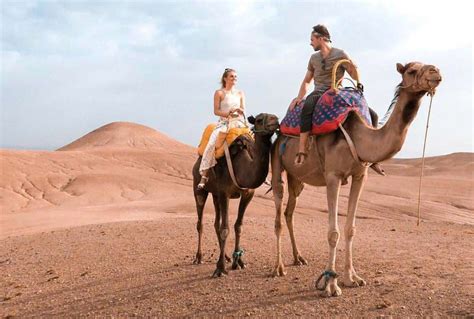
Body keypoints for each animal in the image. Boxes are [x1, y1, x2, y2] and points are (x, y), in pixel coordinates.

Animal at [193, 112, 282, 278]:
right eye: (259, 119)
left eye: (275, 117)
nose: (275, 121)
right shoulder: (224, 193)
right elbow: (225, 228)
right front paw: (220, 269)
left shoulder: (247, 193)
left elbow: (238, 226)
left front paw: (238, 261)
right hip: (199, 189)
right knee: (200, 222)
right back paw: (199, 257)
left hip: (215, 195)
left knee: (216, 223)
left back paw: (227, 256)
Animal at [270, 62, 444, 298]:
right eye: (411, 70)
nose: (435, 72)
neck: (359, 137)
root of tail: (280, 131)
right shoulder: (333, 176)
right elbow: (333, 232)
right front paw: (331, 285)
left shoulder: (360, 175)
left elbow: (350, 229)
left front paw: (352, 278)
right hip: (277, 161)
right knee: (278, 214)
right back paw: (278, 268)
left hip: (297, 178)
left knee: (290, 212)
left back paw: (298, 258)